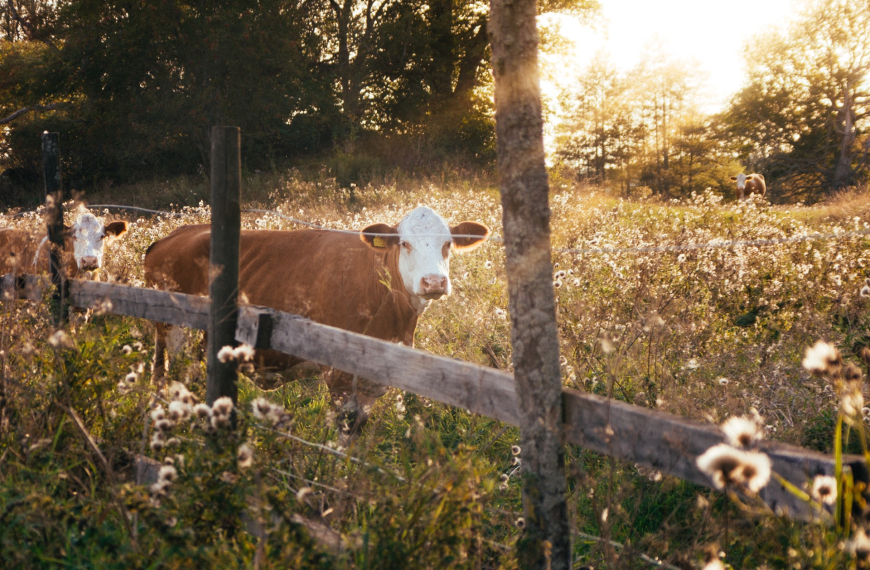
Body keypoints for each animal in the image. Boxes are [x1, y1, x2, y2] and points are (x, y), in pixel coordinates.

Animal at [146, 206, 494, 432]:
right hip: (173, 332)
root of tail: (173, 235)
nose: (434, 282)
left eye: (448, 244)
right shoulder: (338, 374)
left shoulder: (375, 379)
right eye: (405, 244)